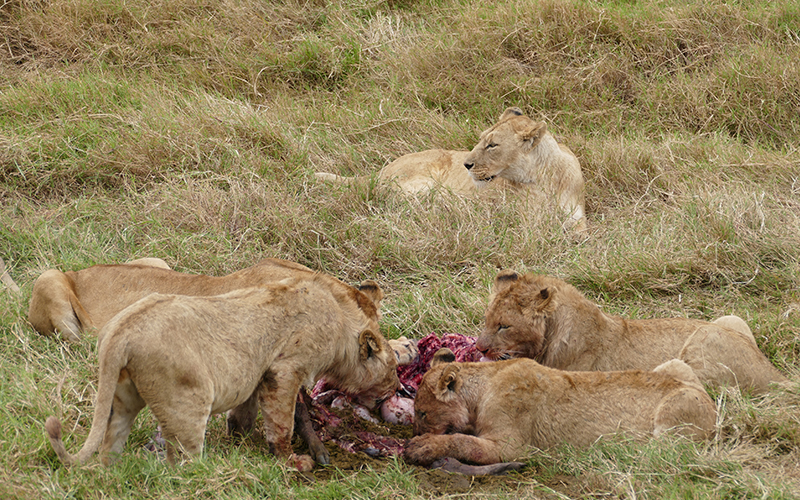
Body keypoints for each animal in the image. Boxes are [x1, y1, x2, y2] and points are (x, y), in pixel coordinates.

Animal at [43, 276, 400, 470]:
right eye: (394, 366)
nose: (397, 387)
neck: (341, 321)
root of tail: (120, 332)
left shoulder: (259, 373)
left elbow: (244, 415)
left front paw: (241, 444)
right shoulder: (286, 369)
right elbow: (282, 424)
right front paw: (291, 461)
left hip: (123, 396)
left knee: (110, 443)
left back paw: (114, 472)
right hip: (188, 399)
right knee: (182, 461)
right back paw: (203, 472)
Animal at [314, 108, 588, 231]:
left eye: (492, 145)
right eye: (481, 139)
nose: (466, 164)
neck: (544, 178)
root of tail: (379, 172)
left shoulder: (577, 219)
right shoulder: (519, 220)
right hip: (420, 185)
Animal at [404, 346, 716, 466]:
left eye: (422, 413)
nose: (414, 432)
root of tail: (714, 406)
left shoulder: (513, 446)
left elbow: (463, 441)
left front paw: (423, 446)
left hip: (678, 407)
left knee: (663, 453)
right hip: (675, 366)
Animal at [476, 270, 788, 394]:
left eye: (504, 326)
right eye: (487, 321)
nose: (479, 348)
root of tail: (774, 373)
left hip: (705, 337)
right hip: (731, 320)